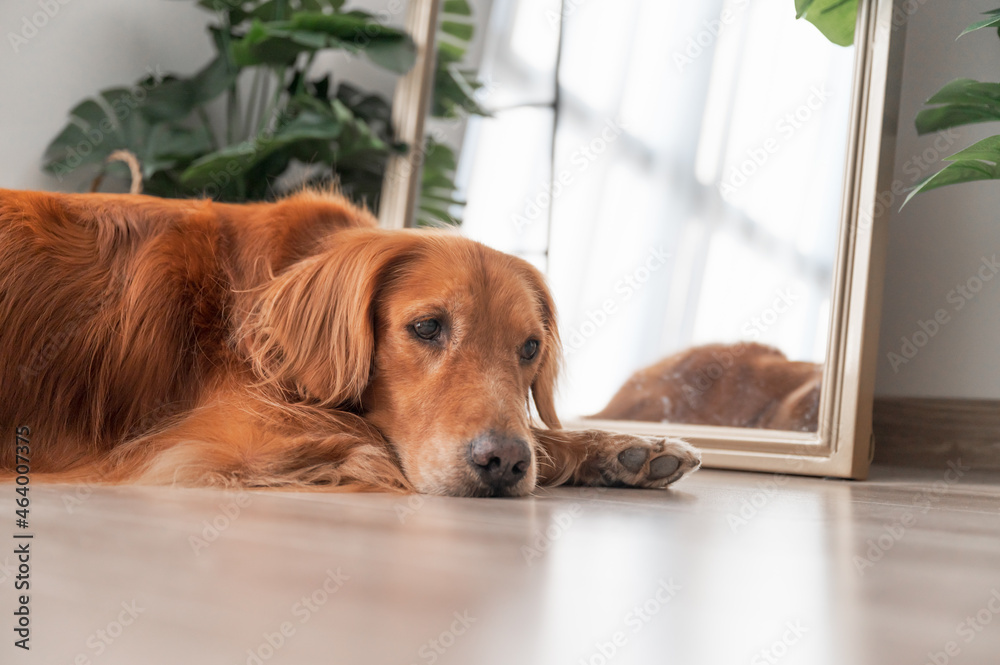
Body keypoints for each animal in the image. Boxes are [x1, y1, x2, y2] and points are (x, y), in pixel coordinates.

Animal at [0, 187, 704, 492]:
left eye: (529, 348)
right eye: (427, 327)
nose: (503, 464)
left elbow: (540, 429)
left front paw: (628, 449)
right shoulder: (221, 438)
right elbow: (373, 436)